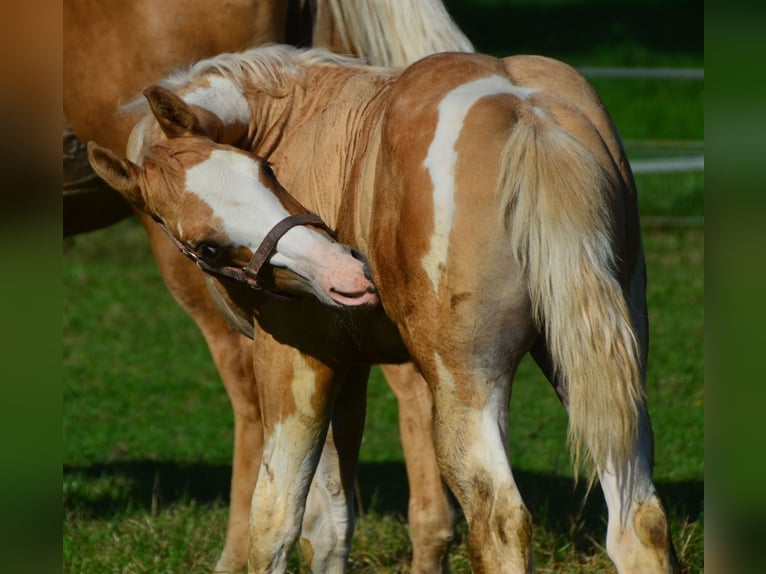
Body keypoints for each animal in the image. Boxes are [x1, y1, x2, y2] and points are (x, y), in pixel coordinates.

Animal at [88, 46, 684, 574]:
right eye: (207, 246)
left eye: (264, 170)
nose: (347, 274)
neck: (298, 116)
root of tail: (528, 113)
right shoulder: (349, 366)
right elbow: (331, 526)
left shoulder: (297, 359)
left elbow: (275, 524)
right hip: (597, 368)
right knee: (639, 520)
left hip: (466, 383)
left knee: (500, 521)